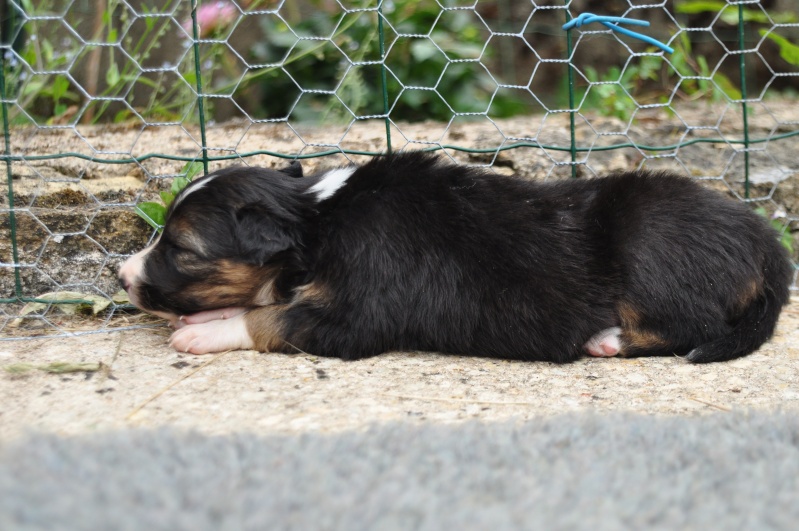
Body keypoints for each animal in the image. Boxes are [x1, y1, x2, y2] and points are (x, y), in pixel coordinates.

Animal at [117, 152, 792, 364]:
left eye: (180, 248)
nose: (120, 276)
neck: (319, 221)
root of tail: (768, 243)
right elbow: (267, 300)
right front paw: (203, 317)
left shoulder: (356, 316)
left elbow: (268, 318)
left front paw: (203, 333)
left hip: (649, 248)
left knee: (693, 324)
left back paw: (609, 340)